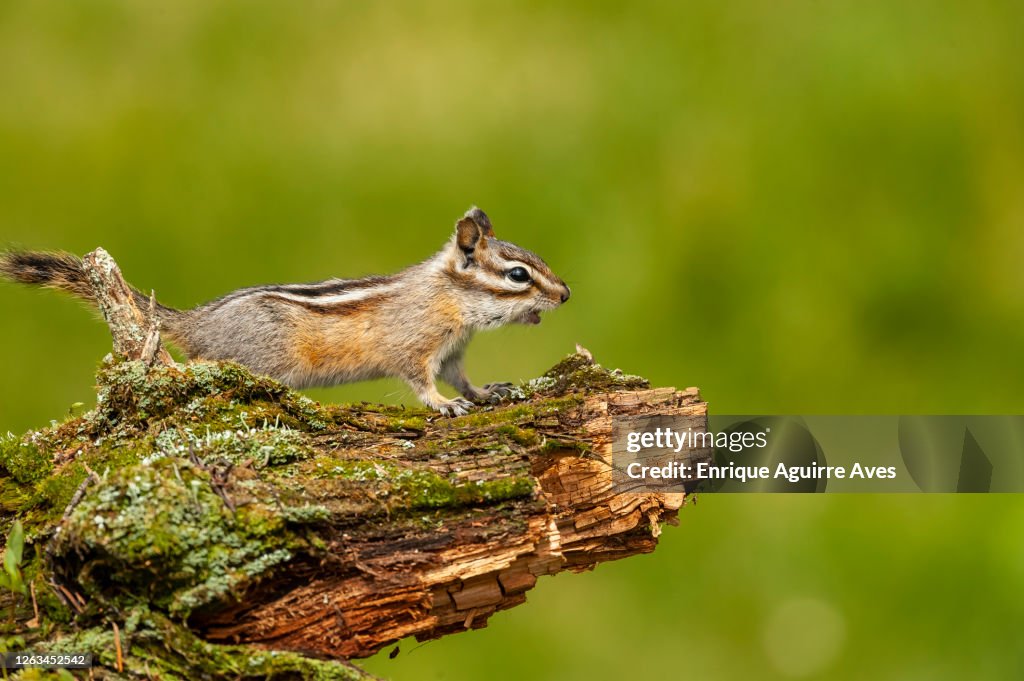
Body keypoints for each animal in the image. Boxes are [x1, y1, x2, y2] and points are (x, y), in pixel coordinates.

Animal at [0, 207, 570, 416]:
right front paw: (443, 405)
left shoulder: (452, 352)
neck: (449, 295)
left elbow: (462, 377)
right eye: (518, 276)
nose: (565, 294)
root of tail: (196, 320)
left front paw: (485, 392)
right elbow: (420, 381)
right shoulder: (415, 346)